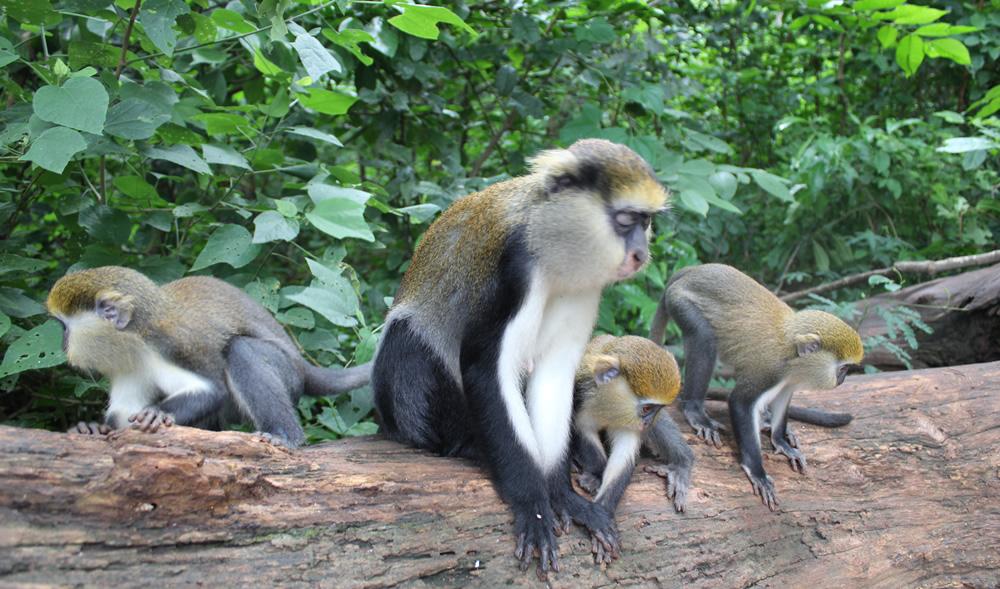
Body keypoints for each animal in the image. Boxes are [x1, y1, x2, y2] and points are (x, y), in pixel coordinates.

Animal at [47, 266, 372, 446]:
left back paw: (284, 435)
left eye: (64, 327)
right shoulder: (127, 364)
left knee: (241, 350)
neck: (136, 338)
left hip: (287, 372)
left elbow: (211, 390)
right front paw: (91, 428)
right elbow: (123, 413)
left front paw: (159, 414)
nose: (62, 344)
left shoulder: (173, 345)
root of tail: (303, 368)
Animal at [372, 139, 668, 576]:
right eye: (626, 219)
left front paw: (561, 496)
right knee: (408, 346)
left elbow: (553, 375)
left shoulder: (586, 286)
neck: (550, 239)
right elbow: (486, 367)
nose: (640, 254)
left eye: (644, 222)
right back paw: (466, 445)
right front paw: (534, 504)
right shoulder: (515, 269)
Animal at [652, 262, 864, 510]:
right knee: (703, 337)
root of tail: (694, 270)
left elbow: (783, 399)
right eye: (843, 369)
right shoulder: (768, 369)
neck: (792, 348)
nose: (843, 380)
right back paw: (695, 411)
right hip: (681, 302)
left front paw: (780, 440)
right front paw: (757, 471)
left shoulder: (788, 379)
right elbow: (740, 402)